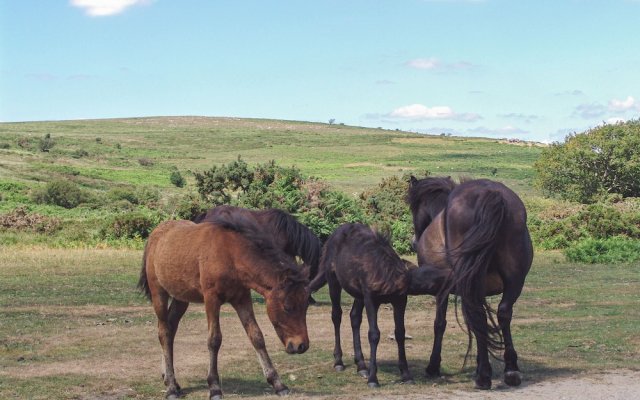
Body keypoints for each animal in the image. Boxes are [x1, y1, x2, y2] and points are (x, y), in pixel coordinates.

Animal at [139, 212, 312, 396]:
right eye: (287, 307)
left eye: (306, 306)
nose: (301, 345)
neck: (231, 255)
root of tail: (155, 235)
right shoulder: (211, 299)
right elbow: (214, 340)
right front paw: (214, 386)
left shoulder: (242, 298)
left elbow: (256, 336)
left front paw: (278, 383)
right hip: (159, 293)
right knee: (164, 332)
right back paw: (171, 386)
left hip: (181, 299)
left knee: (170, 329)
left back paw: (168, 378)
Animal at [308, 223, 416, 386]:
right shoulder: (371, 299)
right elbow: (374, 334)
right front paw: (373, 379)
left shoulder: (400, 300)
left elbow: (400, 333)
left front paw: (406, 374)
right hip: (334, 281)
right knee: (336, 316)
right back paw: (339, 362)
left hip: (358, 294)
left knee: (354, 317)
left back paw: (361, 366)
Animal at [408, 177, 532, 390]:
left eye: (414, 208)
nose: (414, 242)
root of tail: (490, 194)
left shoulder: (442, 290)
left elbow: (440, 324)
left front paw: (433, 366)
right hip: (514, 280)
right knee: (503, 313)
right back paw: (510, 370)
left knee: (479, 316)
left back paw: (483, 376)